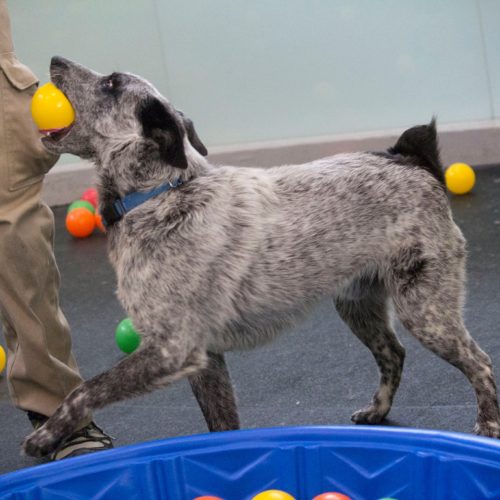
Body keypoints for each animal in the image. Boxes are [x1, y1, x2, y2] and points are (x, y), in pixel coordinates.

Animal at [22, 55, 500, 458]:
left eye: (111, 83)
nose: (54, 60)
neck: (157, 196)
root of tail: (410, 161)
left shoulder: (171, 349)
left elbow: (86, 389)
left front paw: (48, 433)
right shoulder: (204, 361)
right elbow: (222, 425)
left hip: (426, 311)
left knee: (480, 362)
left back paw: (488, 426)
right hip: (357, 306)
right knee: (394, 354)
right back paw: (377, 411)